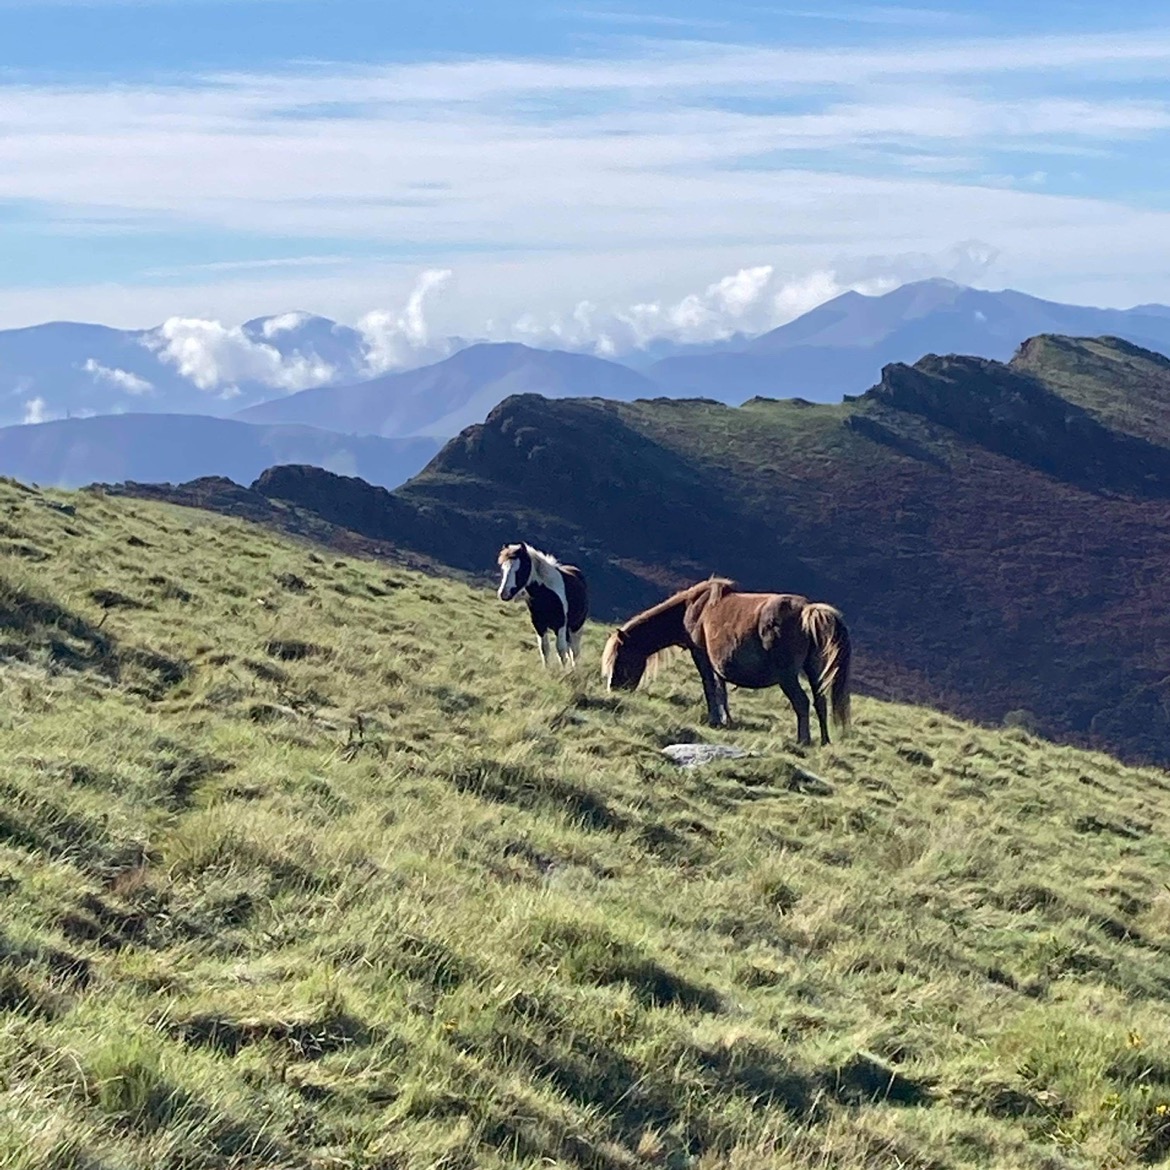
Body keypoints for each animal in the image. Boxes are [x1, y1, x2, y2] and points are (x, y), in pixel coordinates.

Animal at [601, 577, 851, 745]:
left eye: (620, 658)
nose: (613, 688)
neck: (694, 608)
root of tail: (808, 611)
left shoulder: (701, 654)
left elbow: (709, 687)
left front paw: (714, 719)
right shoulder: (717, 662)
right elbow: (721, 689)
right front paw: (725, 719)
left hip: (787, 677)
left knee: (802, 702)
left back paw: (803, 741)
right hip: (814, 672)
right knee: (820, 702)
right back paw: (824, 741)